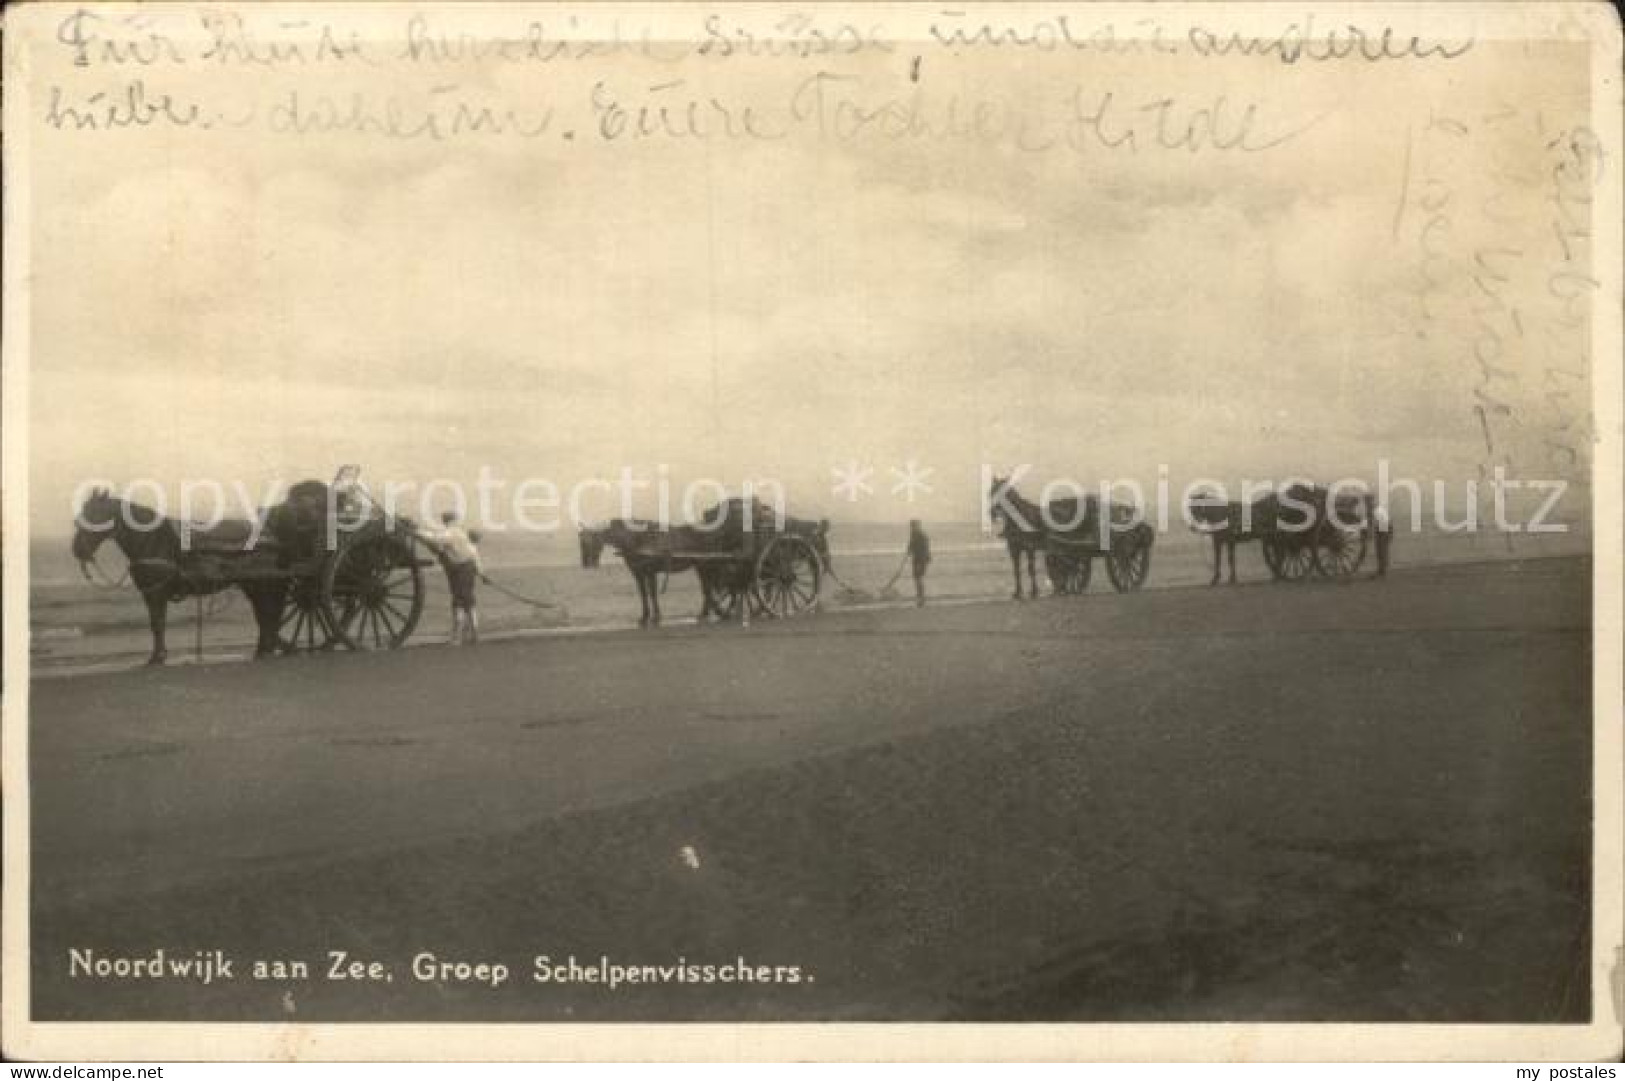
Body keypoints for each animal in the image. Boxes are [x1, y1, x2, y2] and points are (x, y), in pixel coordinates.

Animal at [72, 487, 295, 656]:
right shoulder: (150, 593)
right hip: (253, 584)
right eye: (81, 516)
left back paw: (267, 648)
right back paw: (264, 649)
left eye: (95, 516)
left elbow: (158, 623)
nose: (77, 550)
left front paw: (157, 657)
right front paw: (158, 655)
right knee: (264, 614)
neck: (153, 542)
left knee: (267, 613)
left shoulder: (156, 592)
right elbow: (155, 623)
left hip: (261, 583)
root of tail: (269, 535)